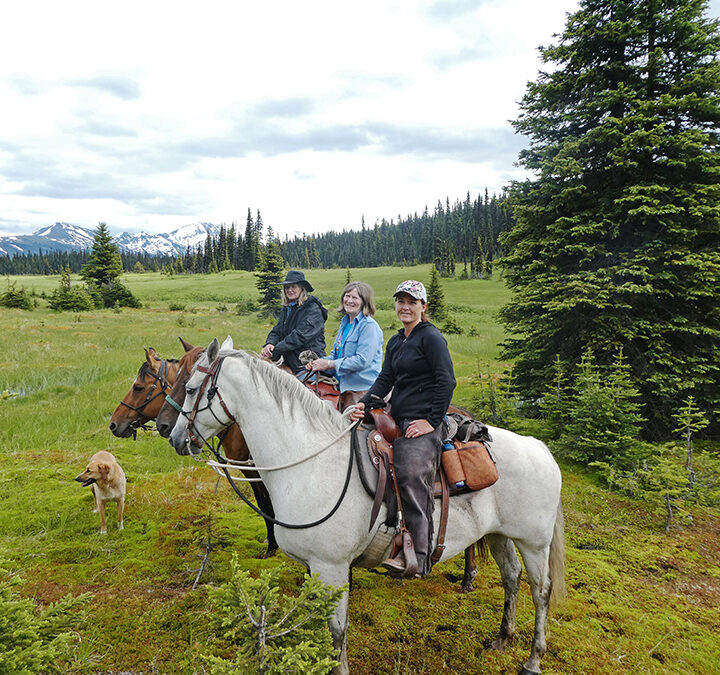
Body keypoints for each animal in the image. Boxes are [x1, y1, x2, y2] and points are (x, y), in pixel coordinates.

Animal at [170, 344, 568, 675]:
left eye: (189, 388)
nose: (174, 437)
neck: (310, 459)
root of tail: (540, 448)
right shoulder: (317, 568)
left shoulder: (330, 566)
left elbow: (337, 630)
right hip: (500, 534)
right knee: (511, 578)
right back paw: (502, 638)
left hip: (534, 542)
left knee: (541, 589)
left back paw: (533, 659)